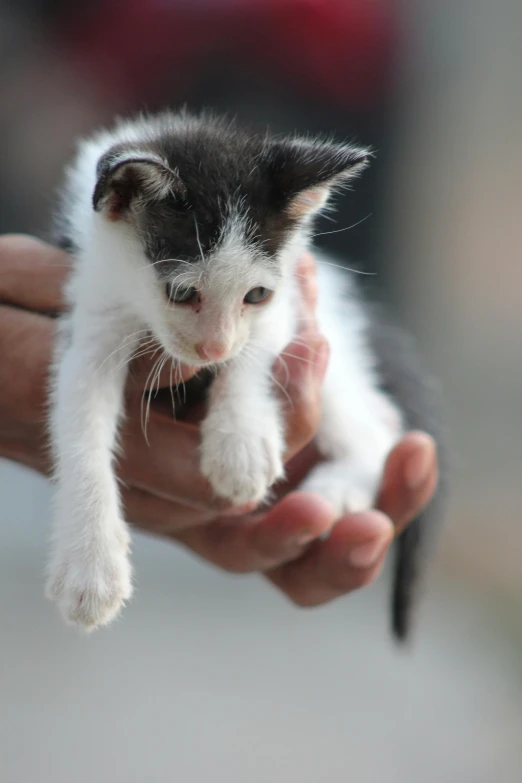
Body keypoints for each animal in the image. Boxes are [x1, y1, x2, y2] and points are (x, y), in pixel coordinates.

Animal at [46, 108, 442, 636]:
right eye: (181, 293)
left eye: (255, 295)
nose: (212, 348)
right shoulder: (93, 305)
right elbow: (80, 421)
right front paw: (89, 567)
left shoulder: (288, 299)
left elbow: (255, 350)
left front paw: (241, 442)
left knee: (378, 432)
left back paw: (334, 493)